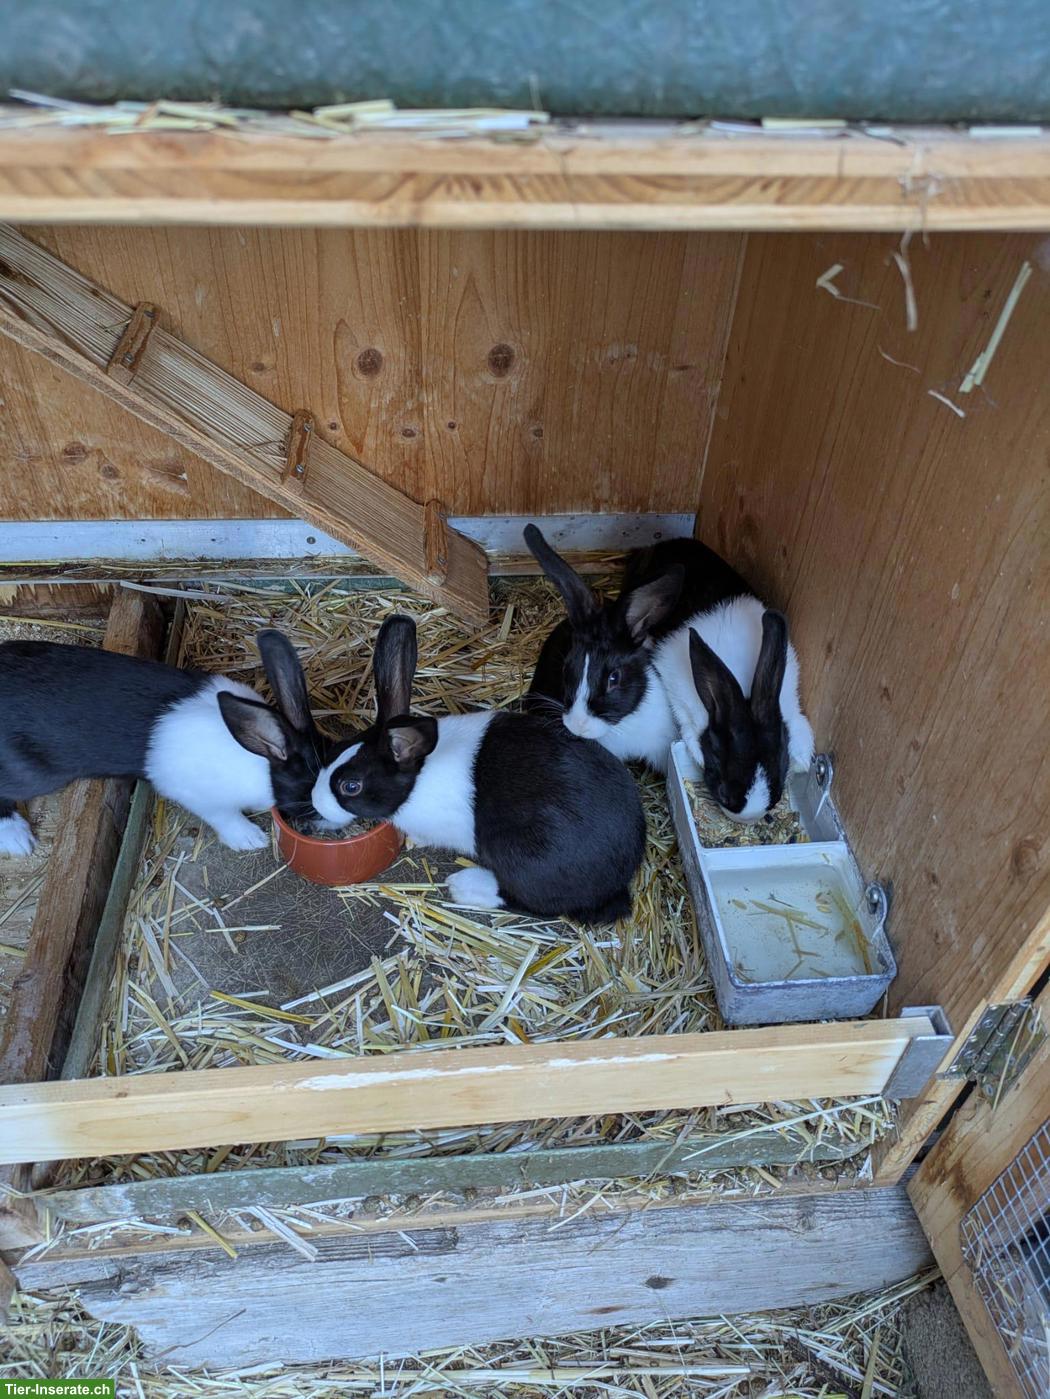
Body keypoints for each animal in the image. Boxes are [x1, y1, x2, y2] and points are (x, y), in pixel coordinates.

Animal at [0, 628, 329, 856]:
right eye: (307, 792)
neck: (261, 762)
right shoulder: (198, 797)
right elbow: (225, 818)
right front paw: (251, 839)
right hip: (33, 775)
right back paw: (18, 839)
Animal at [308, 614, 646, 925]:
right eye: (336, 750)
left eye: (351, 786)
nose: (314, 799)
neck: (417, 778)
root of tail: (617, 880)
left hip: (522, 855)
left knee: (531, 902)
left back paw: (465, 887)